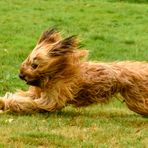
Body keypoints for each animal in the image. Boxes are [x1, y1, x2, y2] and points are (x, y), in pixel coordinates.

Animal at [0, 27, 148, 115]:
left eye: (34, 65)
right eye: (27, 60)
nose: (20, 75)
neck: (57, 73)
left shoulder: (52, 98)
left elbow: (30, 104)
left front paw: (9, 104)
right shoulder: (37, 92)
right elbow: (24, 96)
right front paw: (3, 102)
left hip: (136, 98)